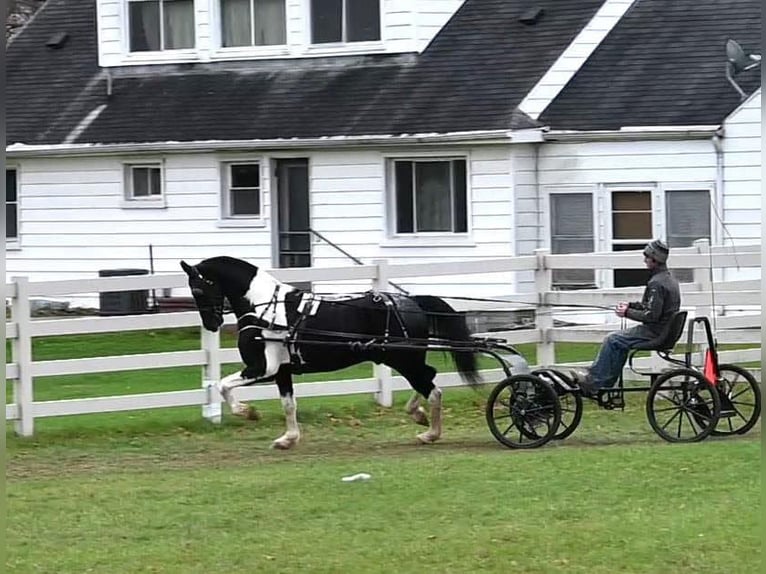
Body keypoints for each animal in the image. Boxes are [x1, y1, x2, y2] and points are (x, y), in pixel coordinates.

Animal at [180, 256, 481, 449]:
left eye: (198, 289)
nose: (211, 324)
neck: (265, 308)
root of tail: (410, 301)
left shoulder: (262, 368)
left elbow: (222, 385)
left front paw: (247, 412)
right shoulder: (282, 371)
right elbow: (288, 404)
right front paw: (288, 438)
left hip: (403, 359)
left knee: (432, 388)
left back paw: (430, 433)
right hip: (401, 357)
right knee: (429, 377)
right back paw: (417, 414)